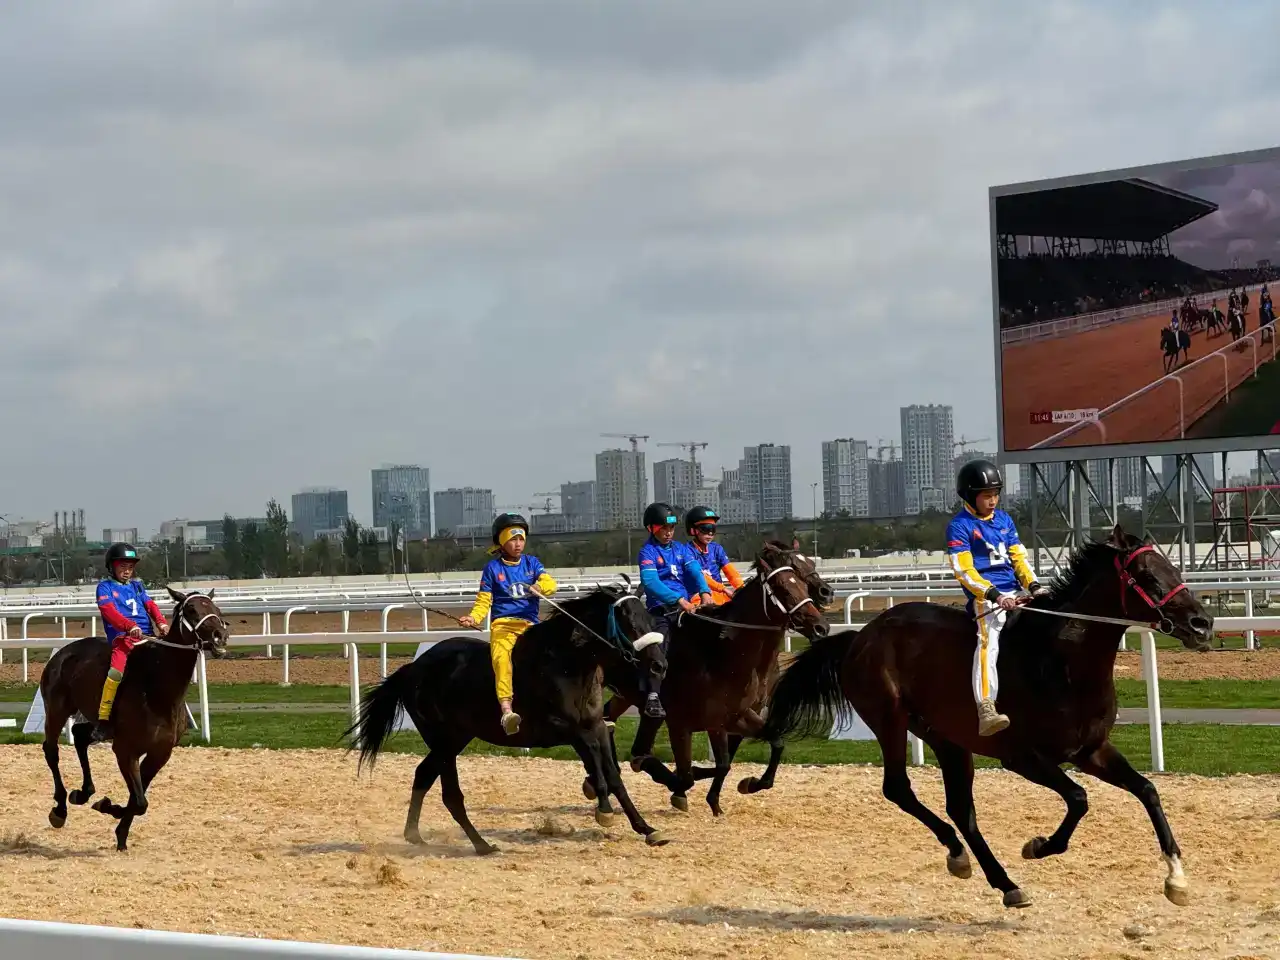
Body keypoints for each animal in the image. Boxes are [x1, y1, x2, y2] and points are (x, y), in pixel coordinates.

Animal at [39, 591, 230, 855]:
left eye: (216, 608)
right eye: (191, 610)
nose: (220, 636)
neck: (157, 688)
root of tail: (62, 654)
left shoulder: (159, 753)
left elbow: (138, 800)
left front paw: (119, 830)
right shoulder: (125, 750)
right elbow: (139, 801)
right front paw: (109, 808)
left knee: (79, 736)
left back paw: (84, 793)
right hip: (57, 709)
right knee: (52, 750)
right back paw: (60, 809)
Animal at [345, 583, 675, 855]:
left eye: (648, 617)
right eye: (628, 621)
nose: (659, 664)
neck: (565, 665)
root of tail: (412, 669)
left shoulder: (595, 726)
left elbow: (615, 775)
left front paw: (646, 828)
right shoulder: (559, 729)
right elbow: (594, 758)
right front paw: (602, 804)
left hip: (455, 739)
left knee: (424, 774)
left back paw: (415, 834)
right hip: (444, 742)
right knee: (450, 794)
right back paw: (481, 845)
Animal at [586, 542, 829, 819]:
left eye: (803, 581)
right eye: (783, 588)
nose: (821, 626)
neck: (719, 653)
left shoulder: (737, 715)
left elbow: (770, 744)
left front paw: (748, 785)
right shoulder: (684, 723)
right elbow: (697, 771)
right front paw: (689, 793)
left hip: (626, 696)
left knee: (612, 723)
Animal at [757, 529, 1208, 911]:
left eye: (1173, 567)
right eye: (1147, 575)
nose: (1202, 623)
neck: (1058, 661)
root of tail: (861, 636)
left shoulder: (1091, 750)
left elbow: (1147, 790)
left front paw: (1177, 879)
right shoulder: (1024, 758)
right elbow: (1079, 799)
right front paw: (1039, 846)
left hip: (947, 739)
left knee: (961, 809)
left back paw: (994, 876)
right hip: (890, 721)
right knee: (899, 789)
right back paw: (971, 860)